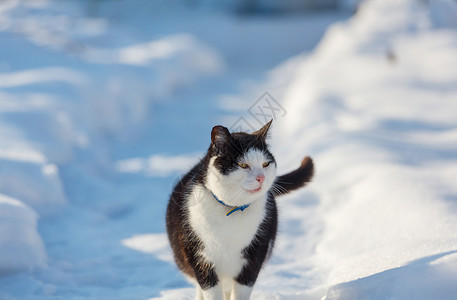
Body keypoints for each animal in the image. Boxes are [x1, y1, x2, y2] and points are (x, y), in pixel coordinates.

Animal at [167, 120, 314, 300]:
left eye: (265, 164)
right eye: (243, 165)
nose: (261, 177)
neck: (232, 209)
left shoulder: (254, 256)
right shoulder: (200, 258)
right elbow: (210, 290)